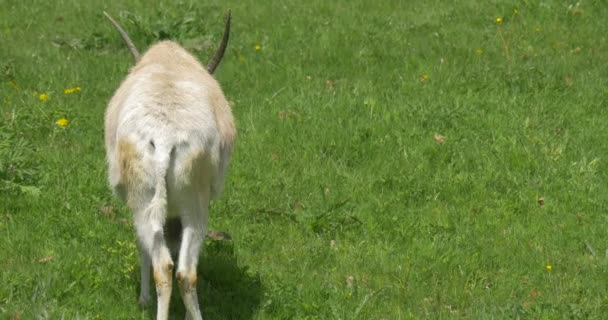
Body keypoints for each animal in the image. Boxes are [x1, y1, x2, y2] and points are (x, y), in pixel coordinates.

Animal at [102, 10, 235, 320]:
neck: (168, 62)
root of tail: (164, 135)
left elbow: (143, 248)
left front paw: (142, 300)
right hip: (194, 205)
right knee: (186, 271)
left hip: (145, 201)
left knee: (162, 265)